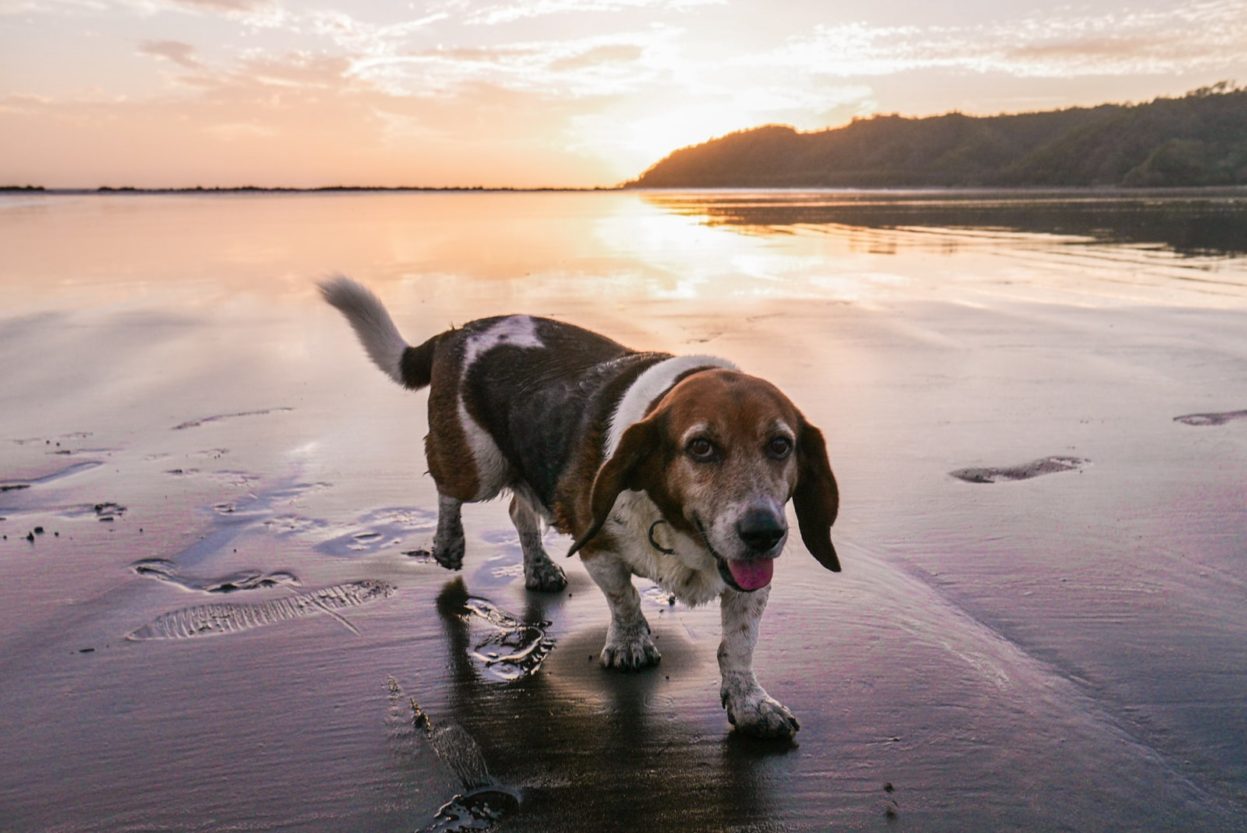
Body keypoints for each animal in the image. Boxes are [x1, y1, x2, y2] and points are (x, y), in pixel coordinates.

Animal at [321, 276, 842, 738]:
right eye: (701, 447)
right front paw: (631, 643)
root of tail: (458, 332)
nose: (764, 532)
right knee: (450, 486)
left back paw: (539, 567)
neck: (679, 530)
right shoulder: (599, 550)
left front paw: (751, 704)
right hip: (478, 465)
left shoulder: (750, 582)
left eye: (780, 444)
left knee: (519, 512)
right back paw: (449, 543)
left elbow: (739, 644)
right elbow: (624, 597)